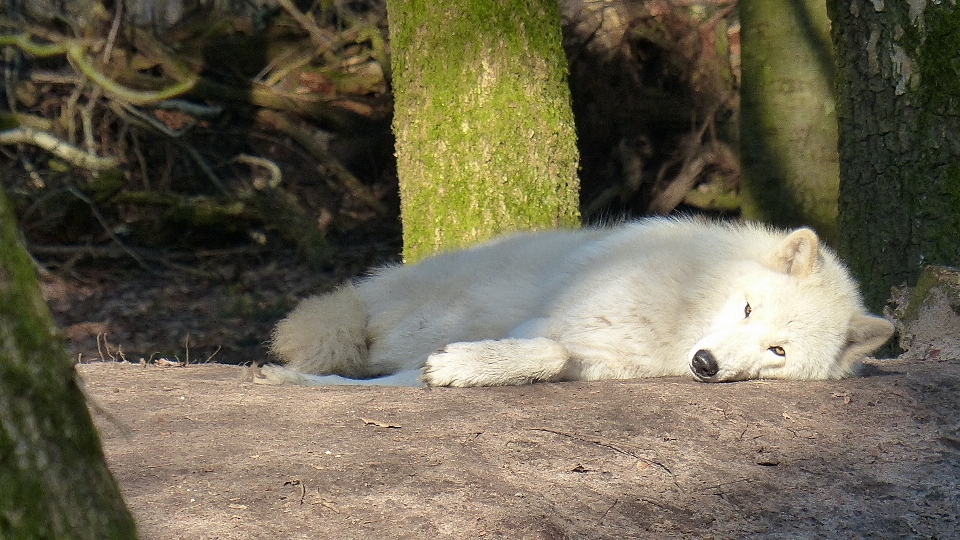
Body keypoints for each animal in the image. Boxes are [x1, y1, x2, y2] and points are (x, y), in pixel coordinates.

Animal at [268, 217, 892, 386]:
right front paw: (463, 367)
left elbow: (552, 357)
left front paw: (461, 369)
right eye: (746, 309)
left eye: (778, 351)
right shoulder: (544, 318)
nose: (706, 364)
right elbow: (544, 348)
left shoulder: (596, 359)